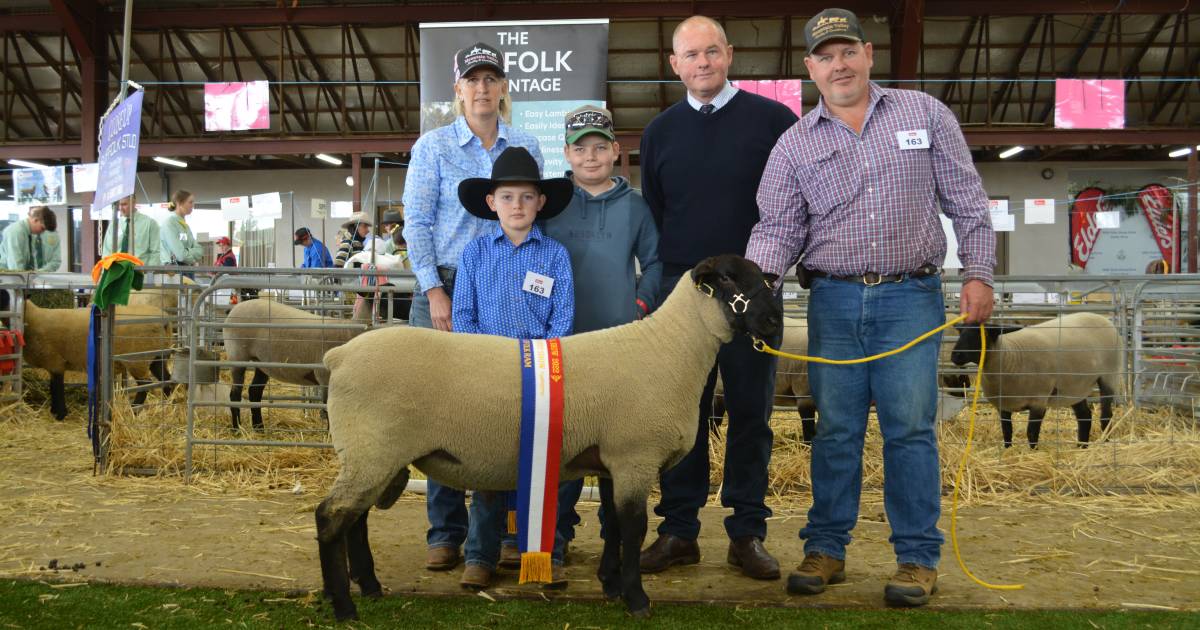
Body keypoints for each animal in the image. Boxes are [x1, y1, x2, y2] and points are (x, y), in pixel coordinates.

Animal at [23, 300, 172, 417]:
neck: (33, 319)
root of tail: (164, 321)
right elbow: (52, 386)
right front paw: (55, 411)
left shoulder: (55, 361)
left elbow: (56, 387)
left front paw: (60, 413)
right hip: (157, 356)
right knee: (166, 379)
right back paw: (166, 403)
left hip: (137, 359)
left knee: (145, 385)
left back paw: (134, 410)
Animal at [220, 295, 374, 432]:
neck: (349, 331)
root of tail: (235, 308)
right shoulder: (325, 377)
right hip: (237, 356)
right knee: (235, 394)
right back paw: (237, 429)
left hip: (262, 362)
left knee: (254, 392)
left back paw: (259, 429)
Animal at [314, 253, 782, 614]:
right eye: (727, 278)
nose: (774, 322)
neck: (671, 348)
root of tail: (339, 356)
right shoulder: (635, 456)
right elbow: (633, 529)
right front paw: (636, 600)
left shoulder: (612, 461)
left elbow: (614, 526)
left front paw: (611, 586)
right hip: (371, 448)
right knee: (331, 517)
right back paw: (344, 605)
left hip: (374, 454)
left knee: (355, 520)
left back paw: (371, 588)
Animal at [950, 309, 1118, 446]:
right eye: (961, 332)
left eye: (982, 335)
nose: (955, 355)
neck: (1009, 356)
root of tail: (1099, 317)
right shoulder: (1004, 404)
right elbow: (1006, 431)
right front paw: (1008, 450)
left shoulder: (1038, 400)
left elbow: (1031, 432)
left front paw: (1034, 451)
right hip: (1075, 387)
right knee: (1084, 417)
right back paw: (1082, 447)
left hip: (1109, 376)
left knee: (1106, 415)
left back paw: (1105, 443)